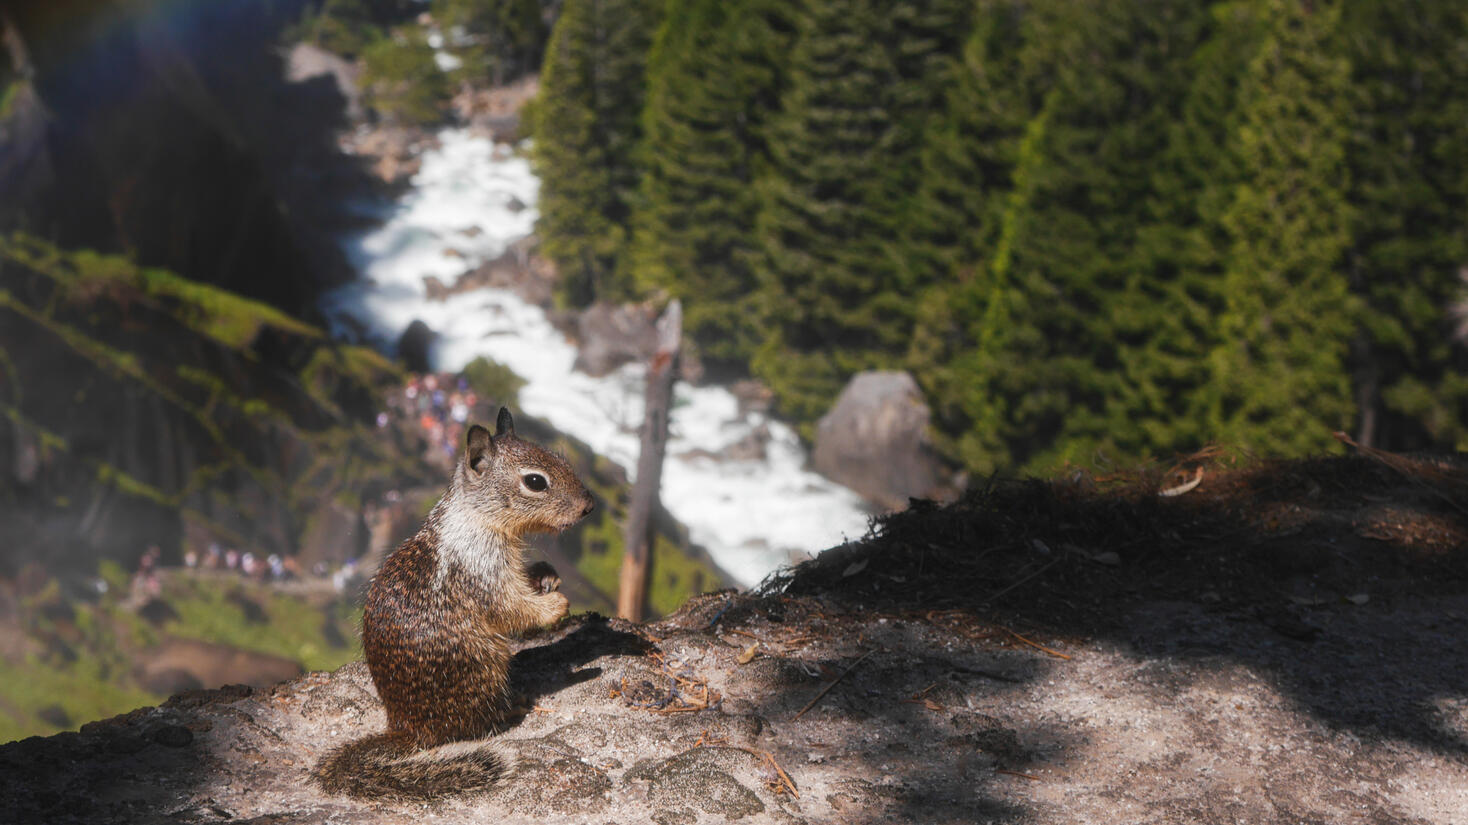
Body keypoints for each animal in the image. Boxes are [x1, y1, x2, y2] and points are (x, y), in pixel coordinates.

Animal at [314, 407, 595, 801]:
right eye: (536, 482)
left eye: (561, 459)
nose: (589, 506)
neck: (477, 519)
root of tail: (407, 727)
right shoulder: (485, 573)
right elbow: (511, 608)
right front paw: (555, 605)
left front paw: (546, 575)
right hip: (484, 665)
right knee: (473, 726)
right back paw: (513, 707)